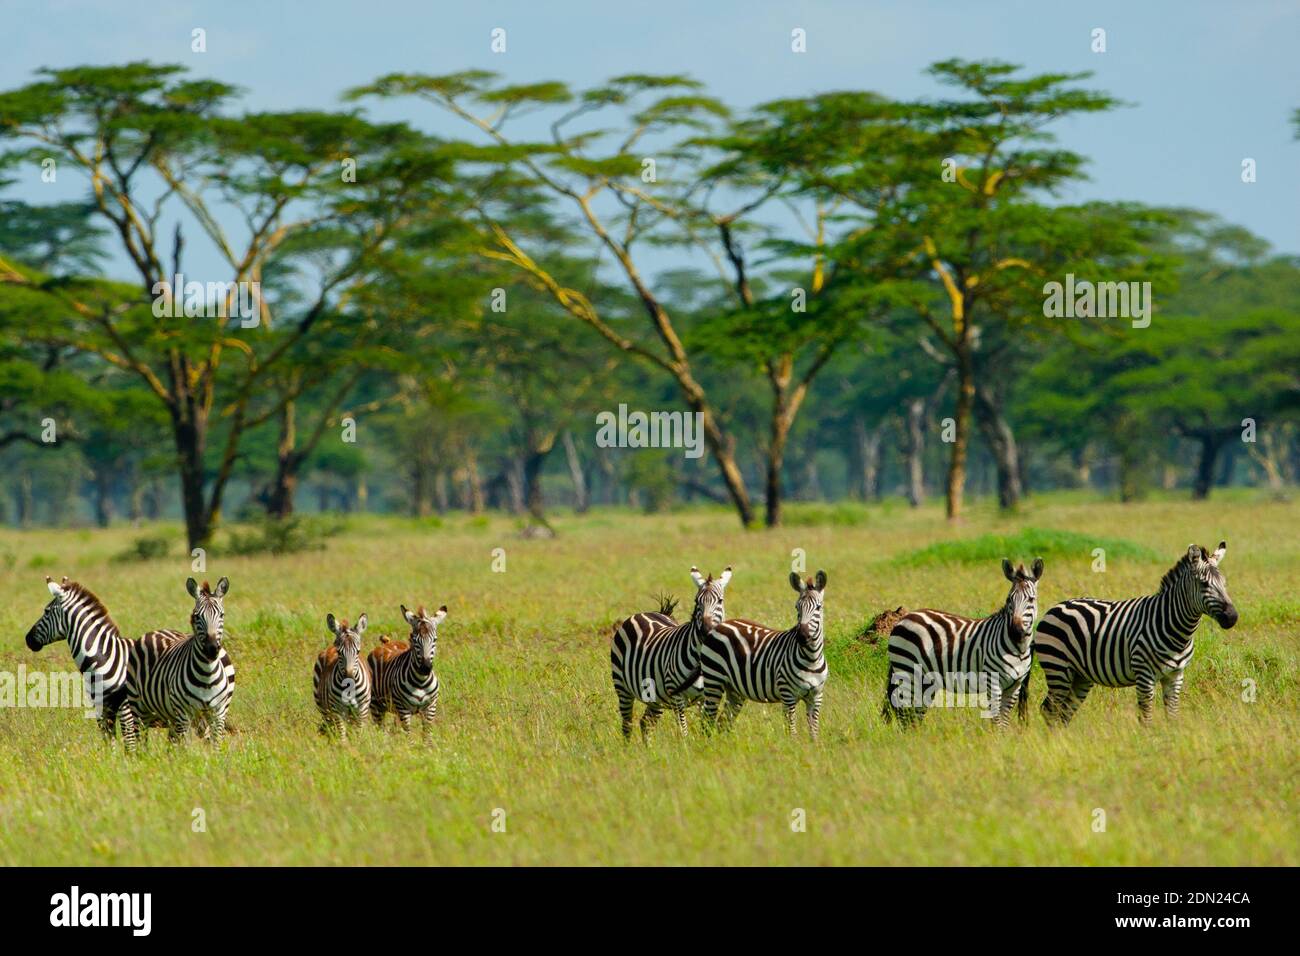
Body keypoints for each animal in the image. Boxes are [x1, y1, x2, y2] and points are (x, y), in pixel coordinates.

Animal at [119, 577, 236, 750]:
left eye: (222, 614)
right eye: (196, 616)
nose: (211, 649)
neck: (207, 674)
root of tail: (154, 631)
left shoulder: (218, 712)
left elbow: (216, 745)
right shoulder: (183, 713)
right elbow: (185, 748)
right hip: (139, 707)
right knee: (142, 740)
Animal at [610, 566, 731, 741]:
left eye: (720, 601)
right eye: (697, 601)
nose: (705, 630)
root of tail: (646, 613)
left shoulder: (705, 697)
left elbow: (704, 726)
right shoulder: (676, 697)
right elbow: (684, 731)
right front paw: (686, 747)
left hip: (655, 697)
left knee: (645, 723)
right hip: (622, 688)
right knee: (627, 726)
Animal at [701, 570, 829, 740]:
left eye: (818, 608)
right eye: (797, 607)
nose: (802, 636)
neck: (811, 659)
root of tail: (719, 626)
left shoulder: (816, 697)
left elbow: (814, 732)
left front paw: (814, 745)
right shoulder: (788, 695)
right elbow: (792, 731)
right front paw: (794, 746)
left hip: (734, 690)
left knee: (723, 721)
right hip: (713, 680)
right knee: (707, 720)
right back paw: (706, 743)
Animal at [882, 558, 1043, 729]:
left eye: (1031, 599)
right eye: (1009, 600)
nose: (1015, 632)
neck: (1019, 649)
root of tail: (904, 618)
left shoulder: (1015, 686)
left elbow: (1004, 721)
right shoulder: (993, 682)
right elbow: (996, 721)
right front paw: (996, 736)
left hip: (923, 679)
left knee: (913, 714)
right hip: (907, 671)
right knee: (904, 713)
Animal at [1027, 542, 1237, 726]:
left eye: (1225, 583)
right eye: (1204, 584)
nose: (1233, 617)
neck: (1176, 630)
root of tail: (1056, 607)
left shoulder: (1176, 675)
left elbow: (1172, 715)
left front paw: (1172, 739)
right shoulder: (1144, 674)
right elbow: (1146, 717)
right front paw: (1150, 742)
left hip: (1080, 676)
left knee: (1064, 712)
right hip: (1058, 668)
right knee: (1049, 710)